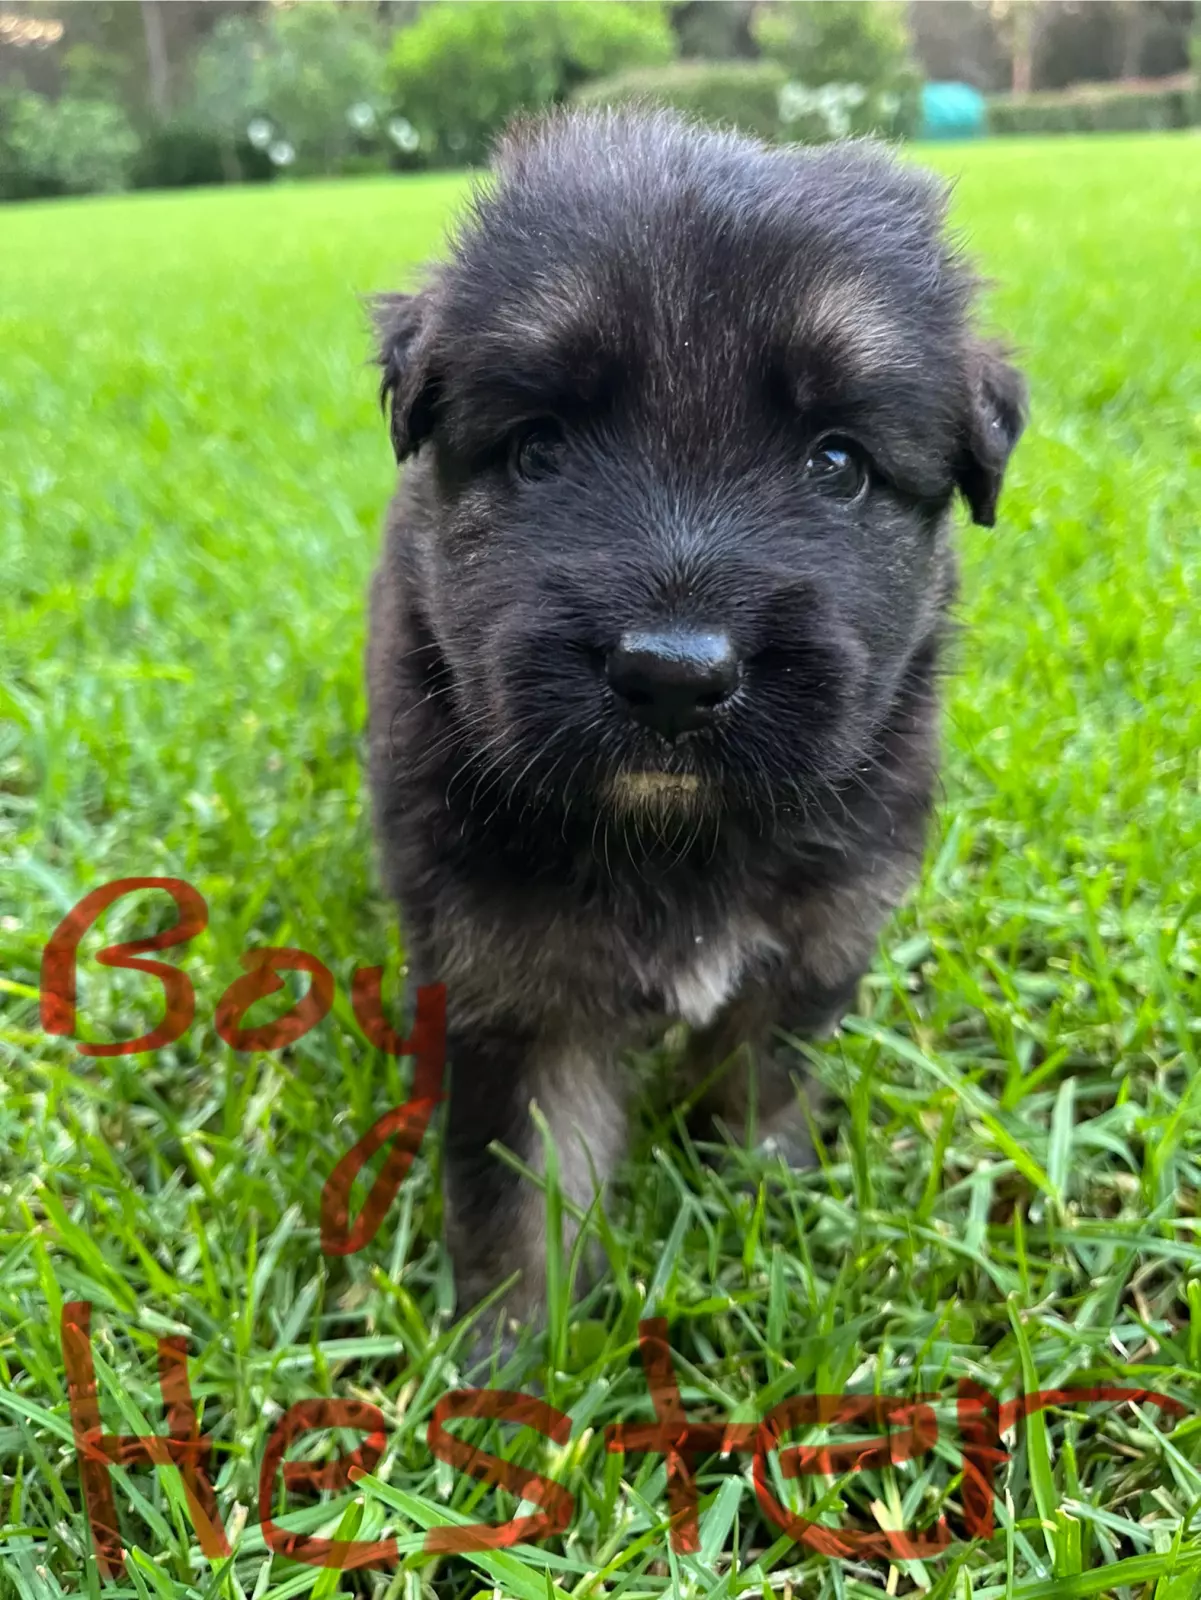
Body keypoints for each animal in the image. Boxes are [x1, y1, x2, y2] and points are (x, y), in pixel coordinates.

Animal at [365, 109, 1025, 1325]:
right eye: (539, 447)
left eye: (837, 464)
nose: (673, 676)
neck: (676, 832)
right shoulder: (511, 983)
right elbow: (522, 1196)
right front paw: (513, 1353)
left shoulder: (810, 946)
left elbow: (757, 1092)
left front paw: (767, 1207)